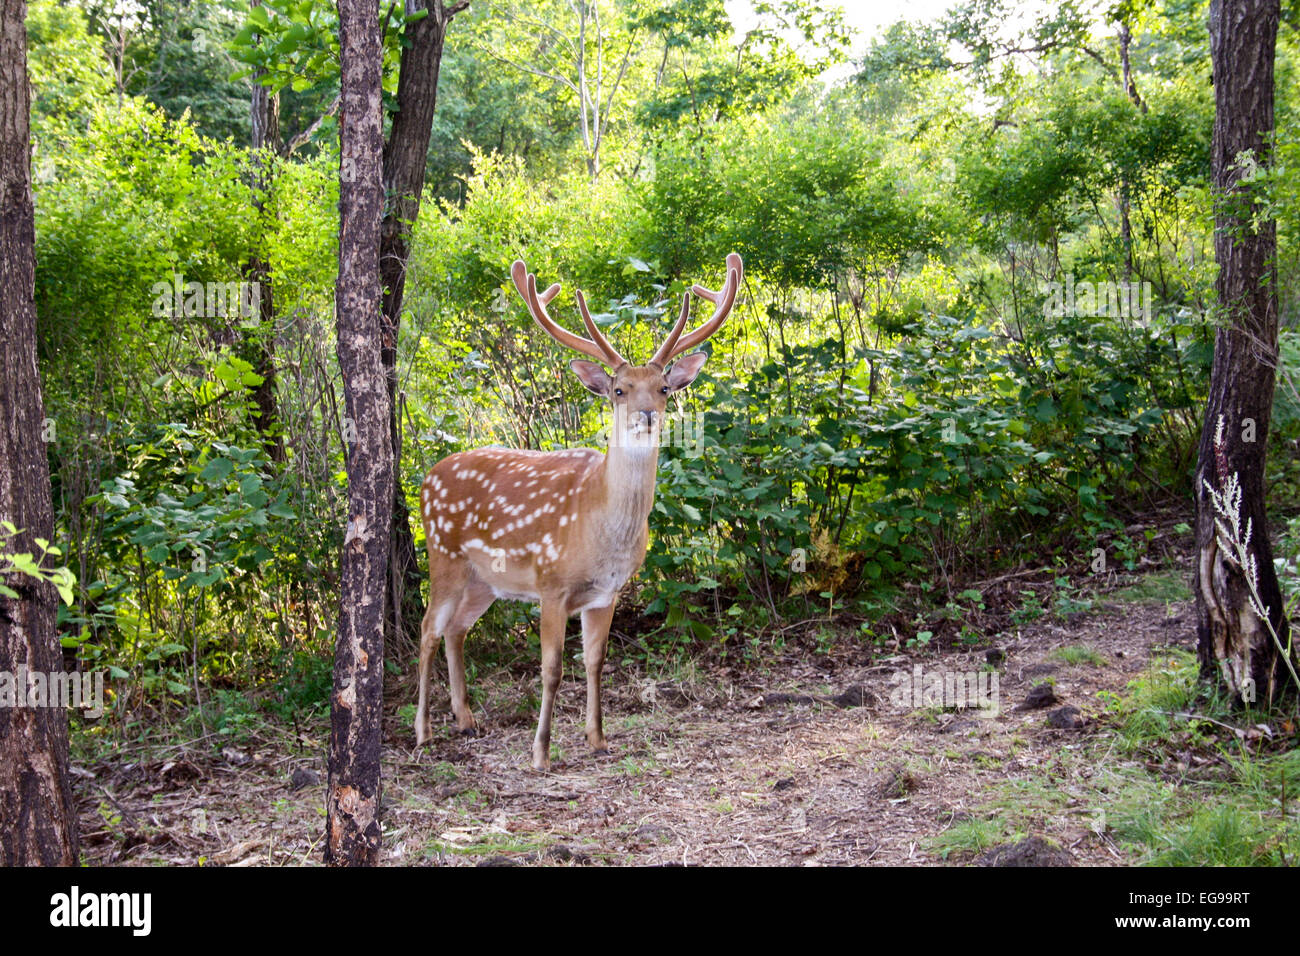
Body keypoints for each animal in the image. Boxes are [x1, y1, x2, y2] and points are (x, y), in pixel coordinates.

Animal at [416, 252, 743, 770]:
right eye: (619, 390)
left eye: (664, 388)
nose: (647, 414)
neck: (599, 526)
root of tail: (427, 477)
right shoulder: (551, 585)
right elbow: (550, 668)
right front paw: (541, 753)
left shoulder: (606, 593)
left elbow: (595, 661)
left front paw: (597, 738)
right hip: (442, 554)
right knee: (428, 629)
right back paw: (424, 731)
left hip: (485, 579)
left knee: (456, 630)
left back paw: (466, 720)